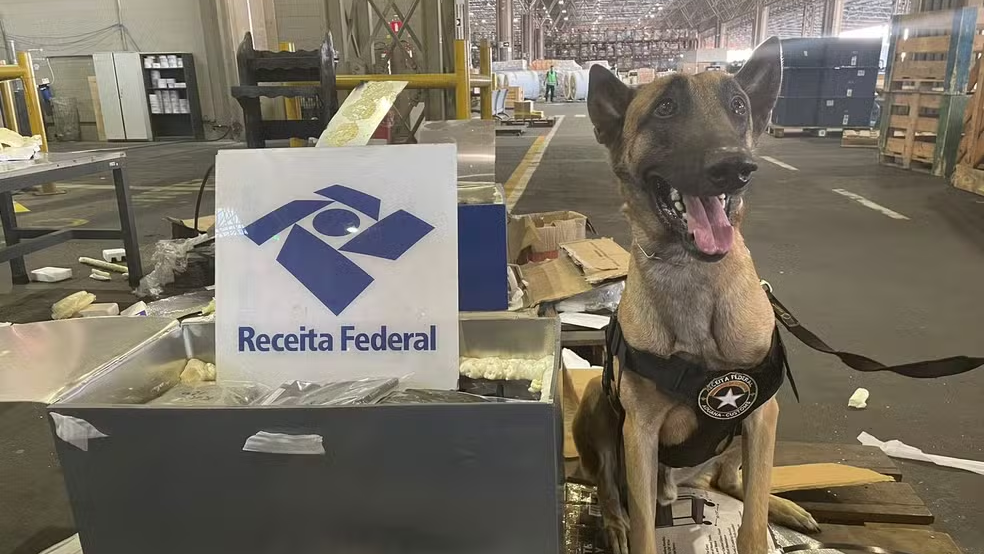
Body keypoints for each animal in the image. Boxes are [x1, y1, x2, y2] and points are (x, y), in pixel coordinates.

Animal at [572, 37, 820, 552]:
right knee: (609, 487)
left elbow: (752, 522)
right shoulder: (640, 433)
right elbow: (645, 528)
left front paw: (764, 521)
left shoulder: (761, 415)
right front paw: (630, 529)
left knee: (732, 482)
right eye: (665, 108)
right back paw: (613, 526)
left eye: (739, 107)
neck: (692, 276)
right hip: (596, 406)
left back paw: (784, 506)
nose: (734, 167)